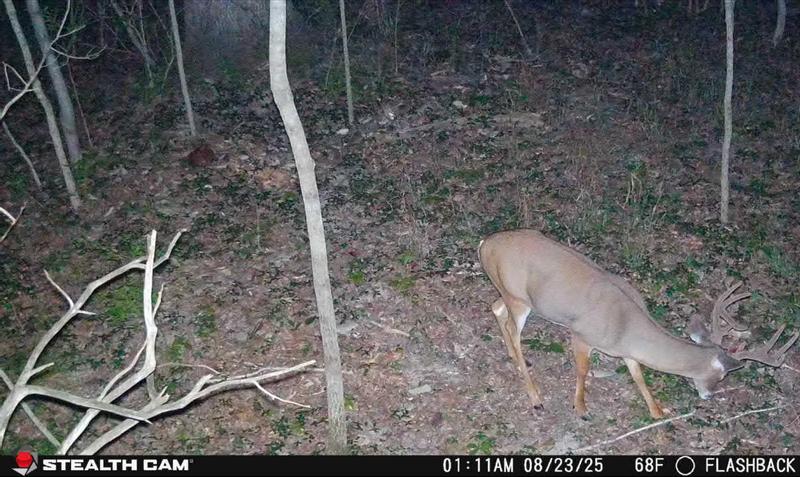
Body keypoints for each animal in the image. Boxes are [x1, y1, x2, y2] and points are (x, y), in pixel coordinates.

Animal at [478, 229, 798, 419]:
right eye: (720, 376)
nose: (710, 395)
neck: (628, 328)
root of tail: (485, 244)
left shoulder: (628, 352)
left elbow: (639, 376)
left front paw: (658, 410)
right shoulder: (582, 333)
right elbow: (582, 370)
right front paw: (581, 407)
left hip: (507, 294)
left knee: (496, 308)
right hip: (519, 297)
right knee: (512, 328)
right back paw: (535, 396)